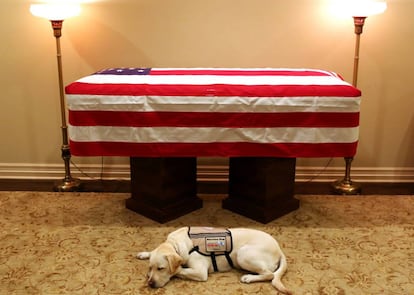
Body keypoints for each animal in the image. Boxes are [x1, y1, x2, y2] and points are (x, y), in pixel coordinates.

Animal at [136, 228, 292, 294]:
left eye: (161, 268)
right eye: (151, 267)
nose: (150, 284)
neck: (176, 243)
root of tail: (279, 249)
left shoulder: (200, 272)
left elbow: (179, 270)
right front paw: (144, 254)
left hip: (243, 254)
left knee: (270, 274)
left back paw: (248, 277)